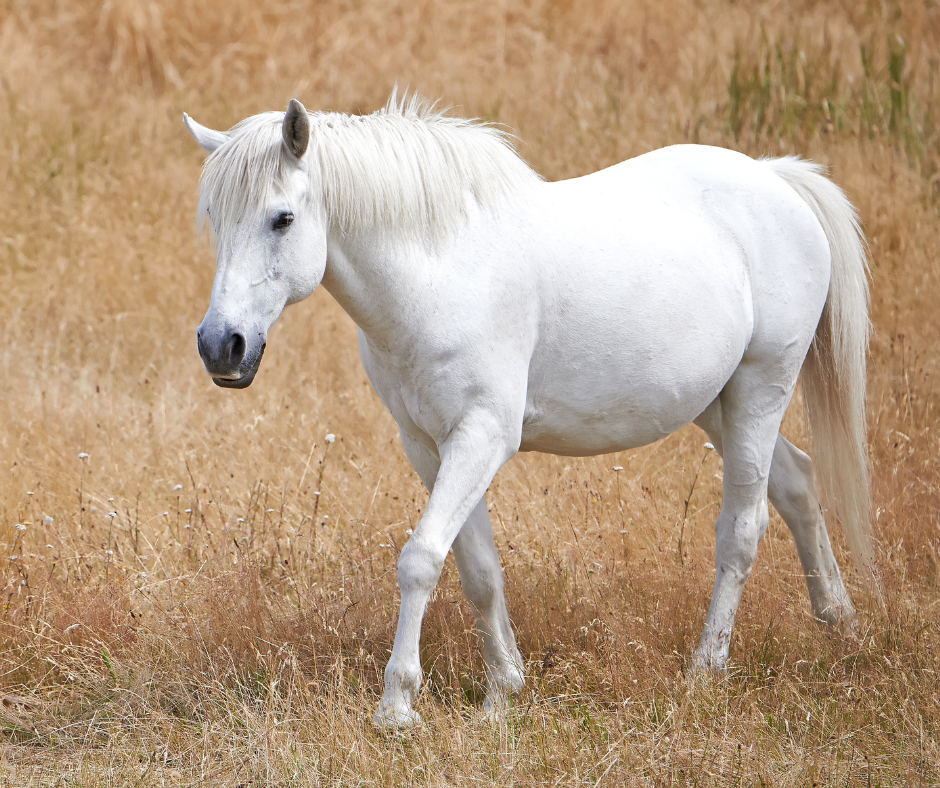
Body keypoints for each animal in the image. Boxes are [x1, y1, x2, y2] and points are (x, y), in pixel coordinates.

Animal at [184, 92, 874, 729]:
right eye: (215, 216)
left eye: (282, 219)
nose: (221, 345)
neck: (440, 274)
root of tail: (777, 180)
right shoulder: (428, 444)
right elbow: (477, 568)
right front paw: (502, 692)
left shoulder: (482, 436)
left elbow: (421, 559)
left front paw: (397, 705)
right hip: (718, 403)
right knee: (797, 483)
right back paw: (840, 625)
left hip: (761, 389)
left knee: (742, 528)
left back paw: (707, 669)